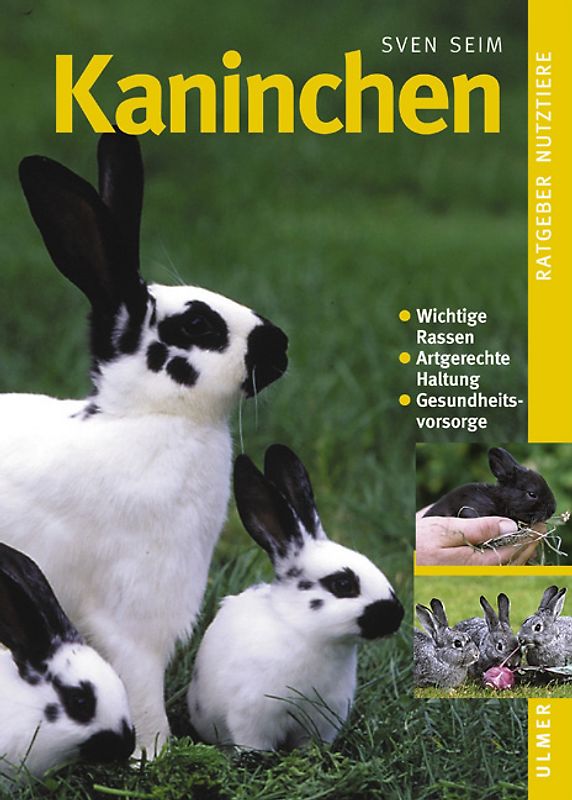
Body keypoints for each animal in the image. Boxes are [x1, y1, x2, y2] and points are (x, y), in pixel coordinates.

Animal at [0, 132, 288, 754]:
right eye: (198, 325)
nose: (281, 347)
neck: (146, 417)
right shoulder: (131, 620)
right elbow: (142, 688)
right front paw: (153, 754)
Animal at [187, 444, 404, 750]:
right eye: (343, 584)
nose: (398, 615)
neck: (303, 631)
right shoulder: (252, 715)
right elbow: (253, 742)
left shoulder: (325, 718)